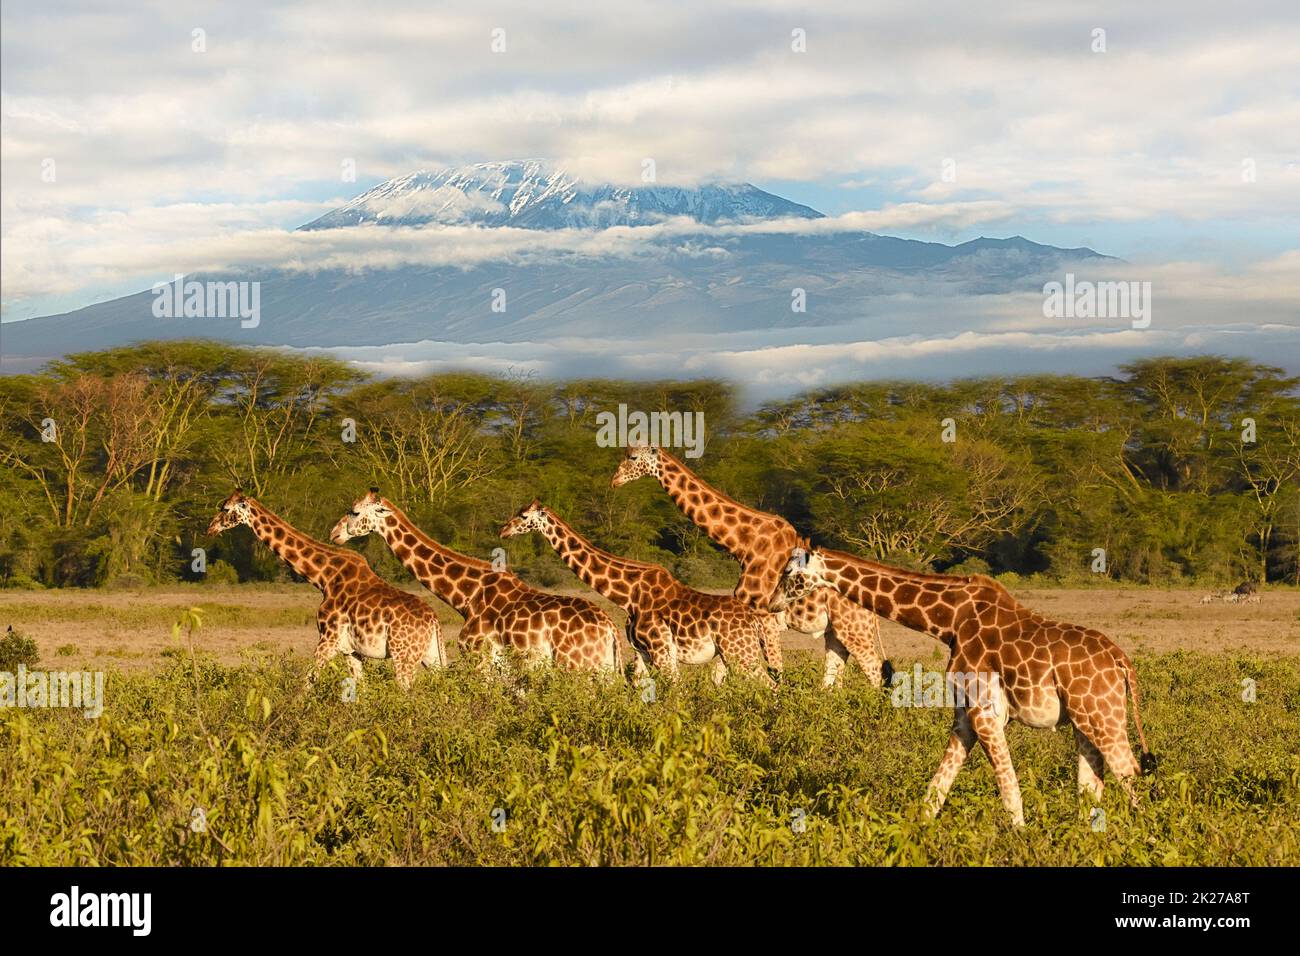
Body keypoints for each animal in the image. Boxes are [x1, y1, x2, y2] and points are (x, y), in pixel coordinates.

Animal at [205, 494, 444, 686]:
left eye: (225, 508)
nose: (210, 528)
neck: (324, 577)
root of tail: (434, 621)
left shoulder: (328, 639)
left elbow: (307, 682)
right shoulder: (351, 650)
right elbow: (360, 689)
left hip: (403, 655)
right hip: (431, 656)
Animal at [332, 489, 621, 676]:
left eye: (354, 512)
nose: (334, 534)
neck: (466, 596)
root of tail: (610, 629)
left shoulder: (478, 657)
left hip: (575, 666)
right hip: (602, 670)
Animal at [496, 502, 780, 686]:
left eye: (523, 516)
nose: (503, 530)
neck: (628, 595)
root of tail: (753, 620)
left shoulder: (661, 650)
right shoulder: (642, 652)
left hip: (739, 652)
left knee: (770, 684)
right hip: (735, 653)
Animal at [611, 444, 894, 686]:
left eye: (632, 457)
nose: (615, 480)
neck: (744, 546)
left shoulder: (764, 619)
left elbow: (773, 670)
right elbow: (721, 674)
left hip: (853, 627)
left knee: (874, 672)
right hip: (837, 631)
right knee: (837, 675)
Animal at [764, 546, 1154, 832]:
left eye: (790, 574)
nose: (770, 603)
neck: (948, 621)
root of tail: (1123, 662)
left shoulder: (986, 713)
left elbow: (1009, 789)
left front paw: (1021, 839)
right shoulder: (965, 716)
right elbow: (935, 791)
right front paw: (913, 836)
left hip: (1102, 715)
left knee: (1130, 773)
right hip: (1083, 720)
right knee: (1093, 786)